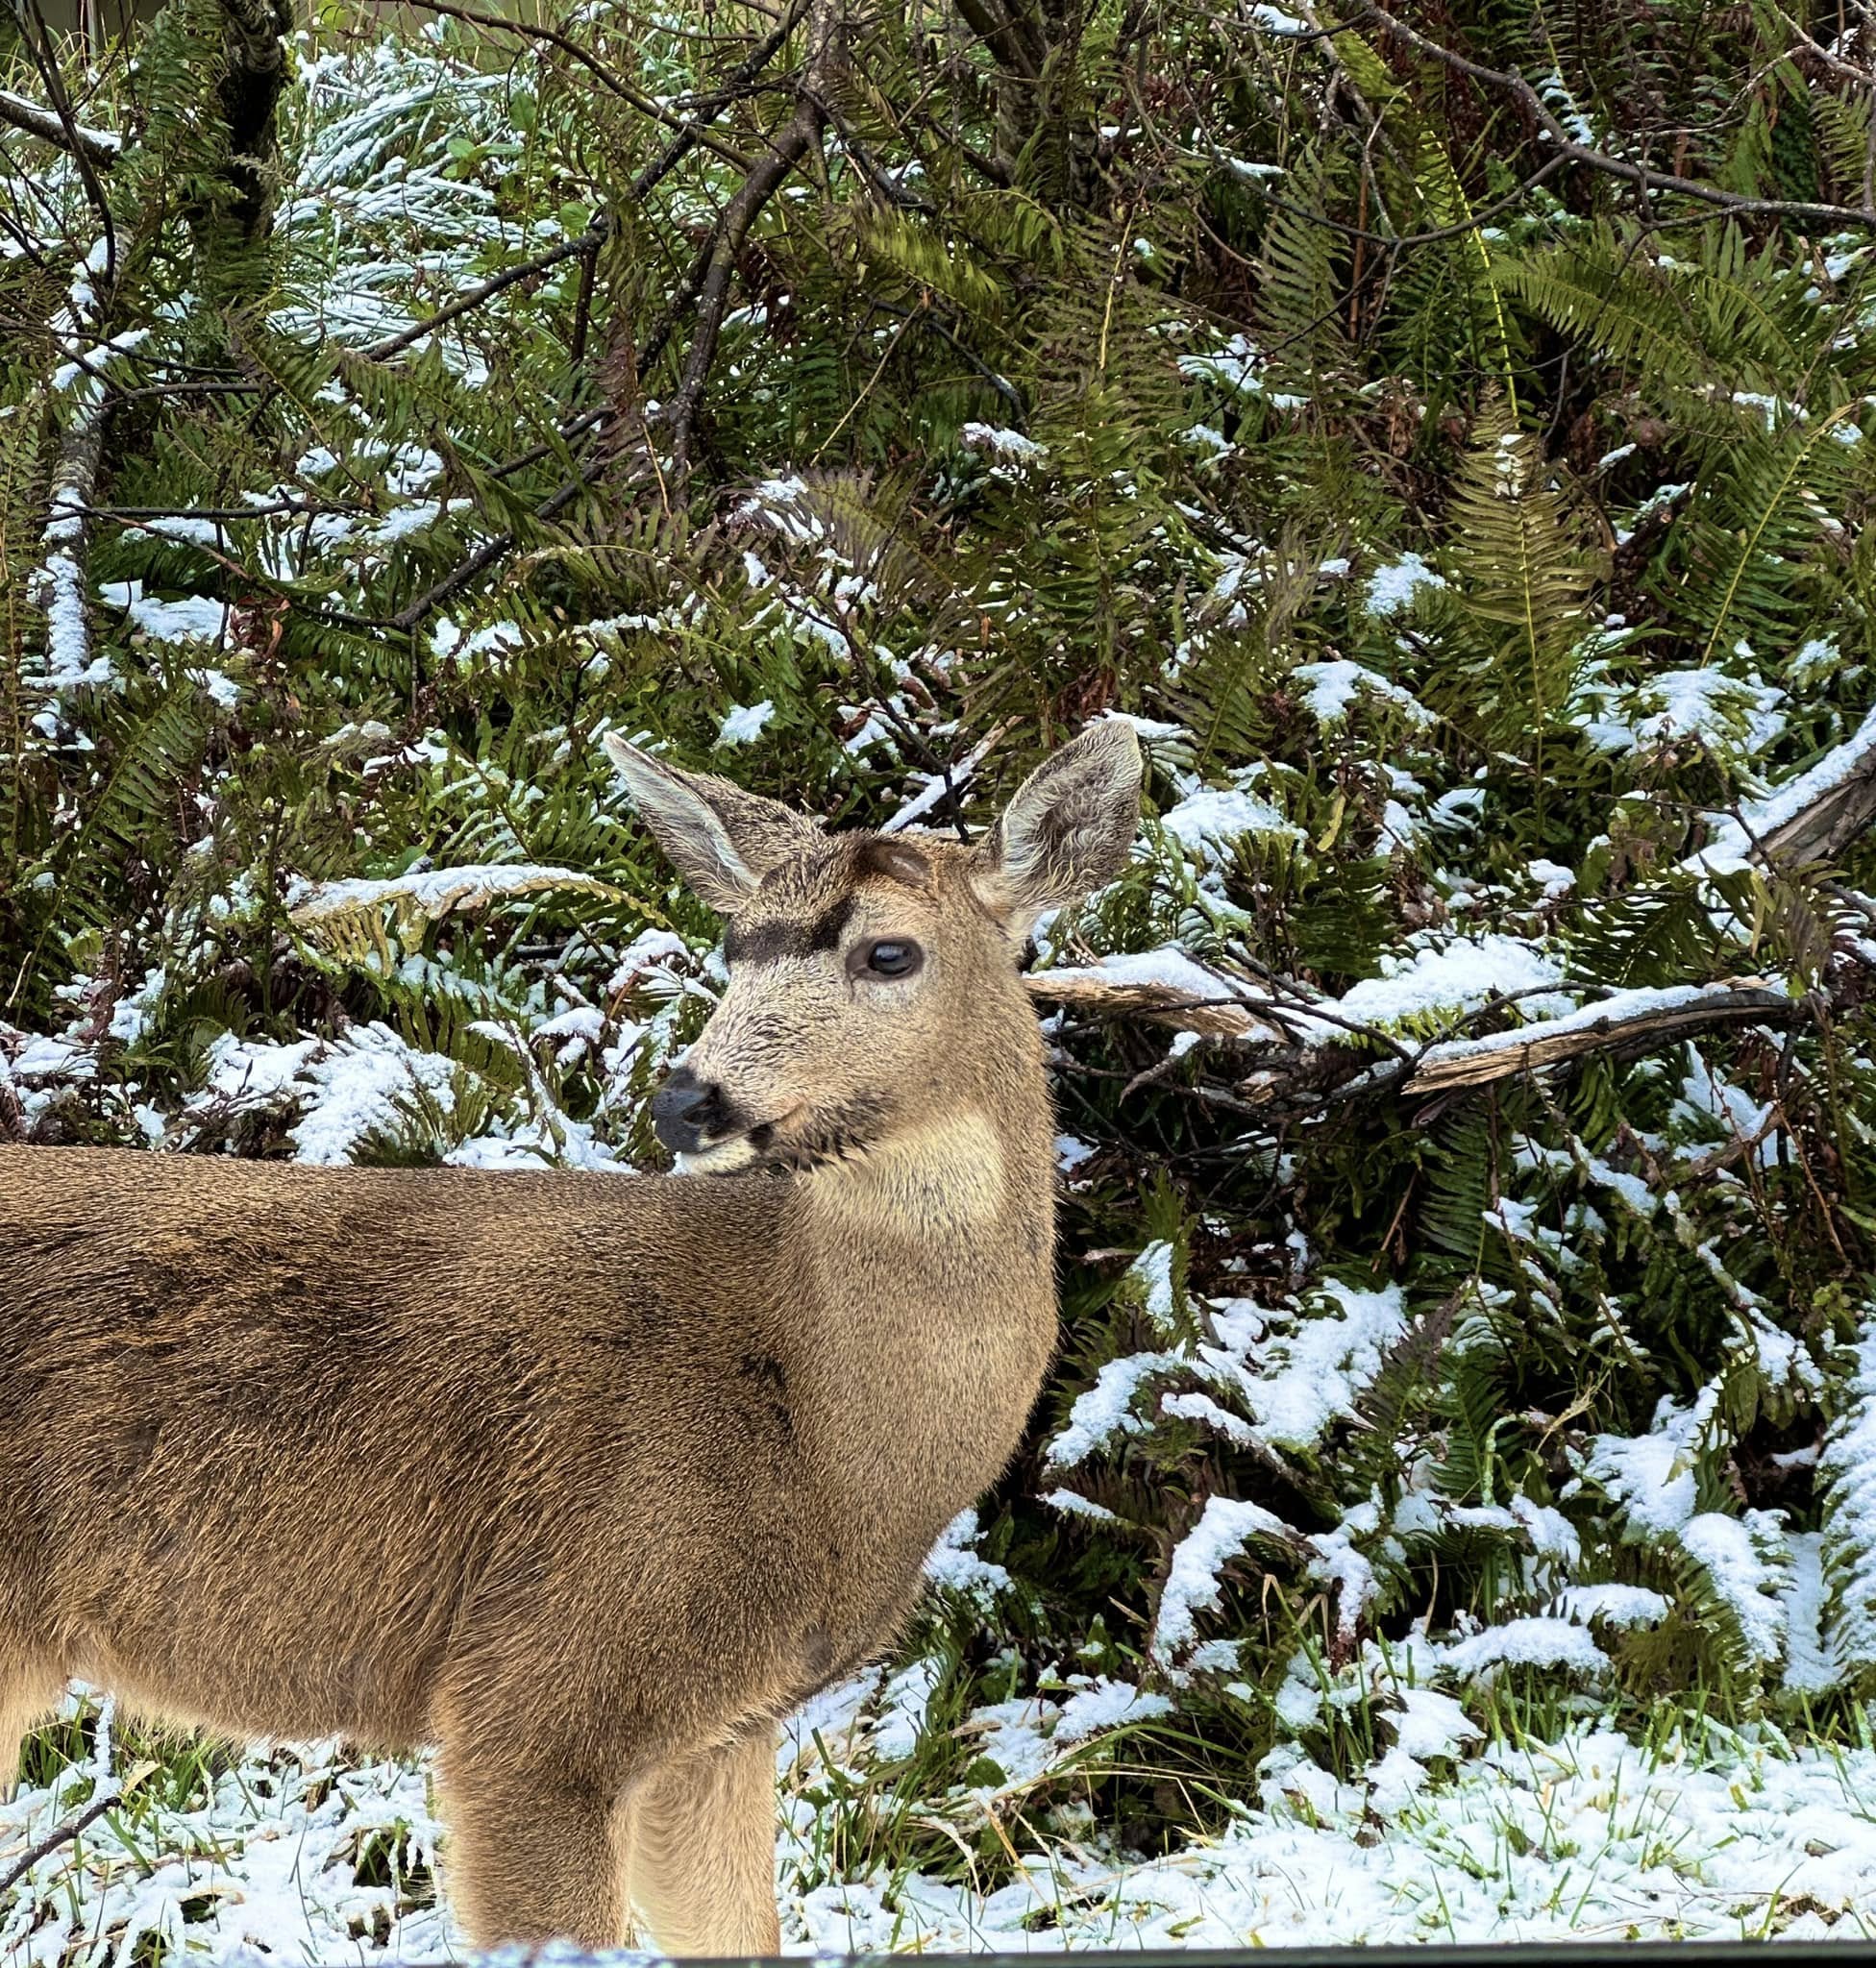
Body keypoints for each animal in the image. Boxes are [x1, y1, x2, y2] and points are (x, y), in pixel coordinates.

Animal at [0, 720, 1141, 1952]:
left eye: (890, 953)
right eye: (732, 942)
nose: (688, 1100)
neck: (824, 1436)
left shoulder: (719, 1727)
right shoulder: (535, 1686)